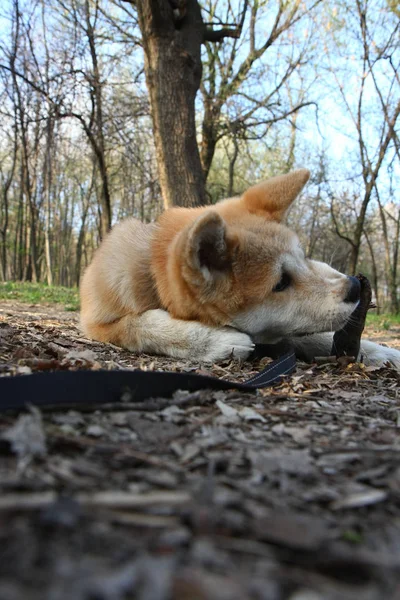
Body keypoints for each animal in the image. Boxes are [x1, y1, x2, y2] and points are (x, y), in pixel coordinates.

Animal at [79, 166, 400, 368]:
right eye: (280, 282)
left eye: (304, 257)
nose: (354, 286)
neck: (150, 274)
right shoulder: (99, 323)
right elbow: (141, 324)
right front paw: (217, 341)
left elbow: (320, 338)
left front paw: (385, 352)